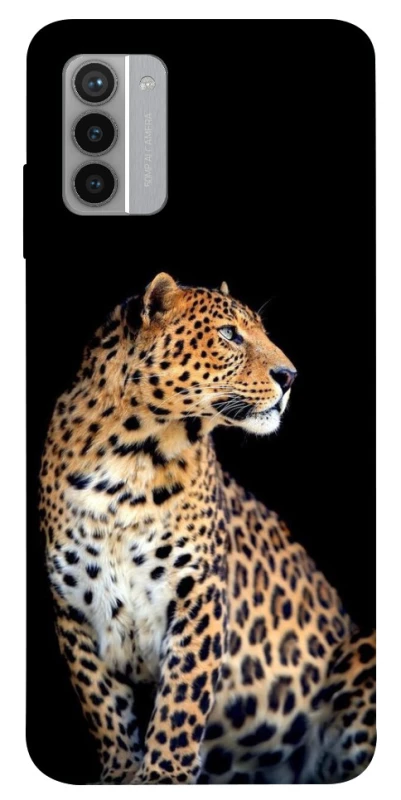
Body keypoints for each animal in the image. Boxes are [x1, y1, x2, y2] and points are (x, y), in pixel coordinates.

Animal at [39, 273, 376, 784]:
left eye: (259, 331)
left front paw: (163, 775)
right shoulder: (74, 607)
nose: (290, 377)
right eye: (229, 334)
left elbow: (181, 700)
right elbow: (103, 705)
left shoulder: (199, 592)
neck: (129, 459)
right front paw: (121, 774)